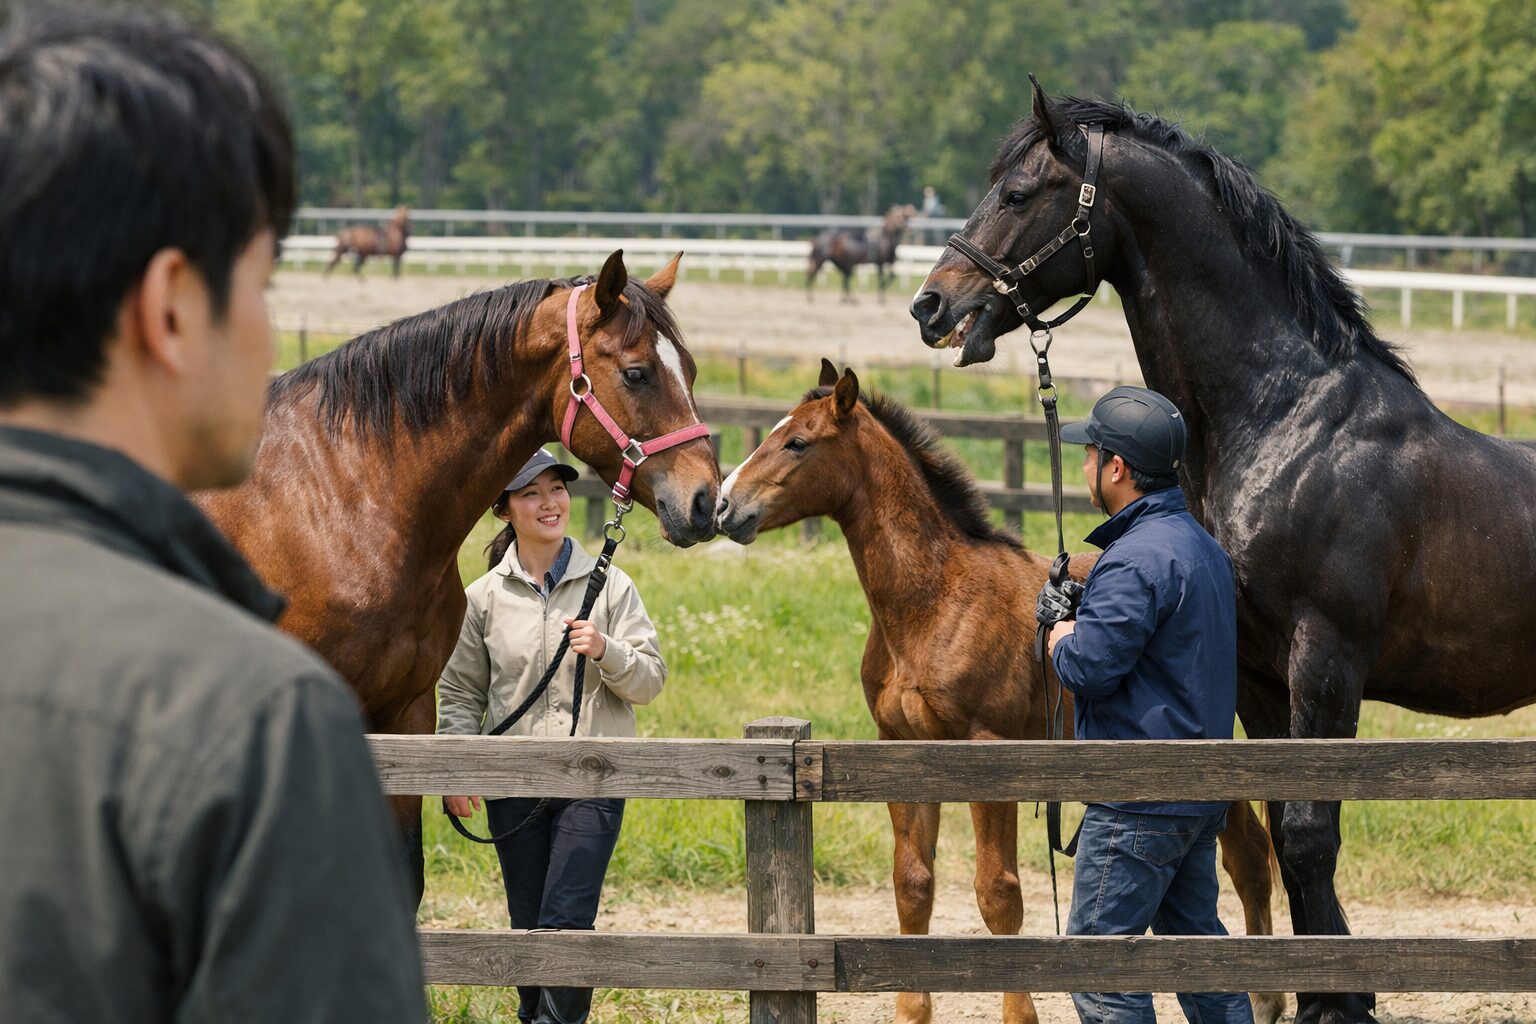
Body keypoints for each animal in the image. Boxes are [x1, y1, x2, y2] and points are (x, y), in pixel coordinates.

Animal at [715, 361, 1283, 1024]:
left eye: (798, 442)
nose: (724, 506)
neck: (935, 600)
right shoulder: (901, 749)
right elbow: (913, 886)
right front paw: (912, 1012)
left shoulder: (990, 751)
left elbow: (998, 895)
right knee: (1241, 852)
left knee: (1248, 854)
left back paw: (1268, 996)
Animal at [910, 80, 1536, 1024]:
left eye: (1018, 194)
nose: (933, 306)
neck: (1290, 421)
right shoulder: (1256, 670)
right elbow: (1281, 822)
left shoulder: (1326, 658)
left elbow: (1311, 835)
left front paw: (1333, 1005)